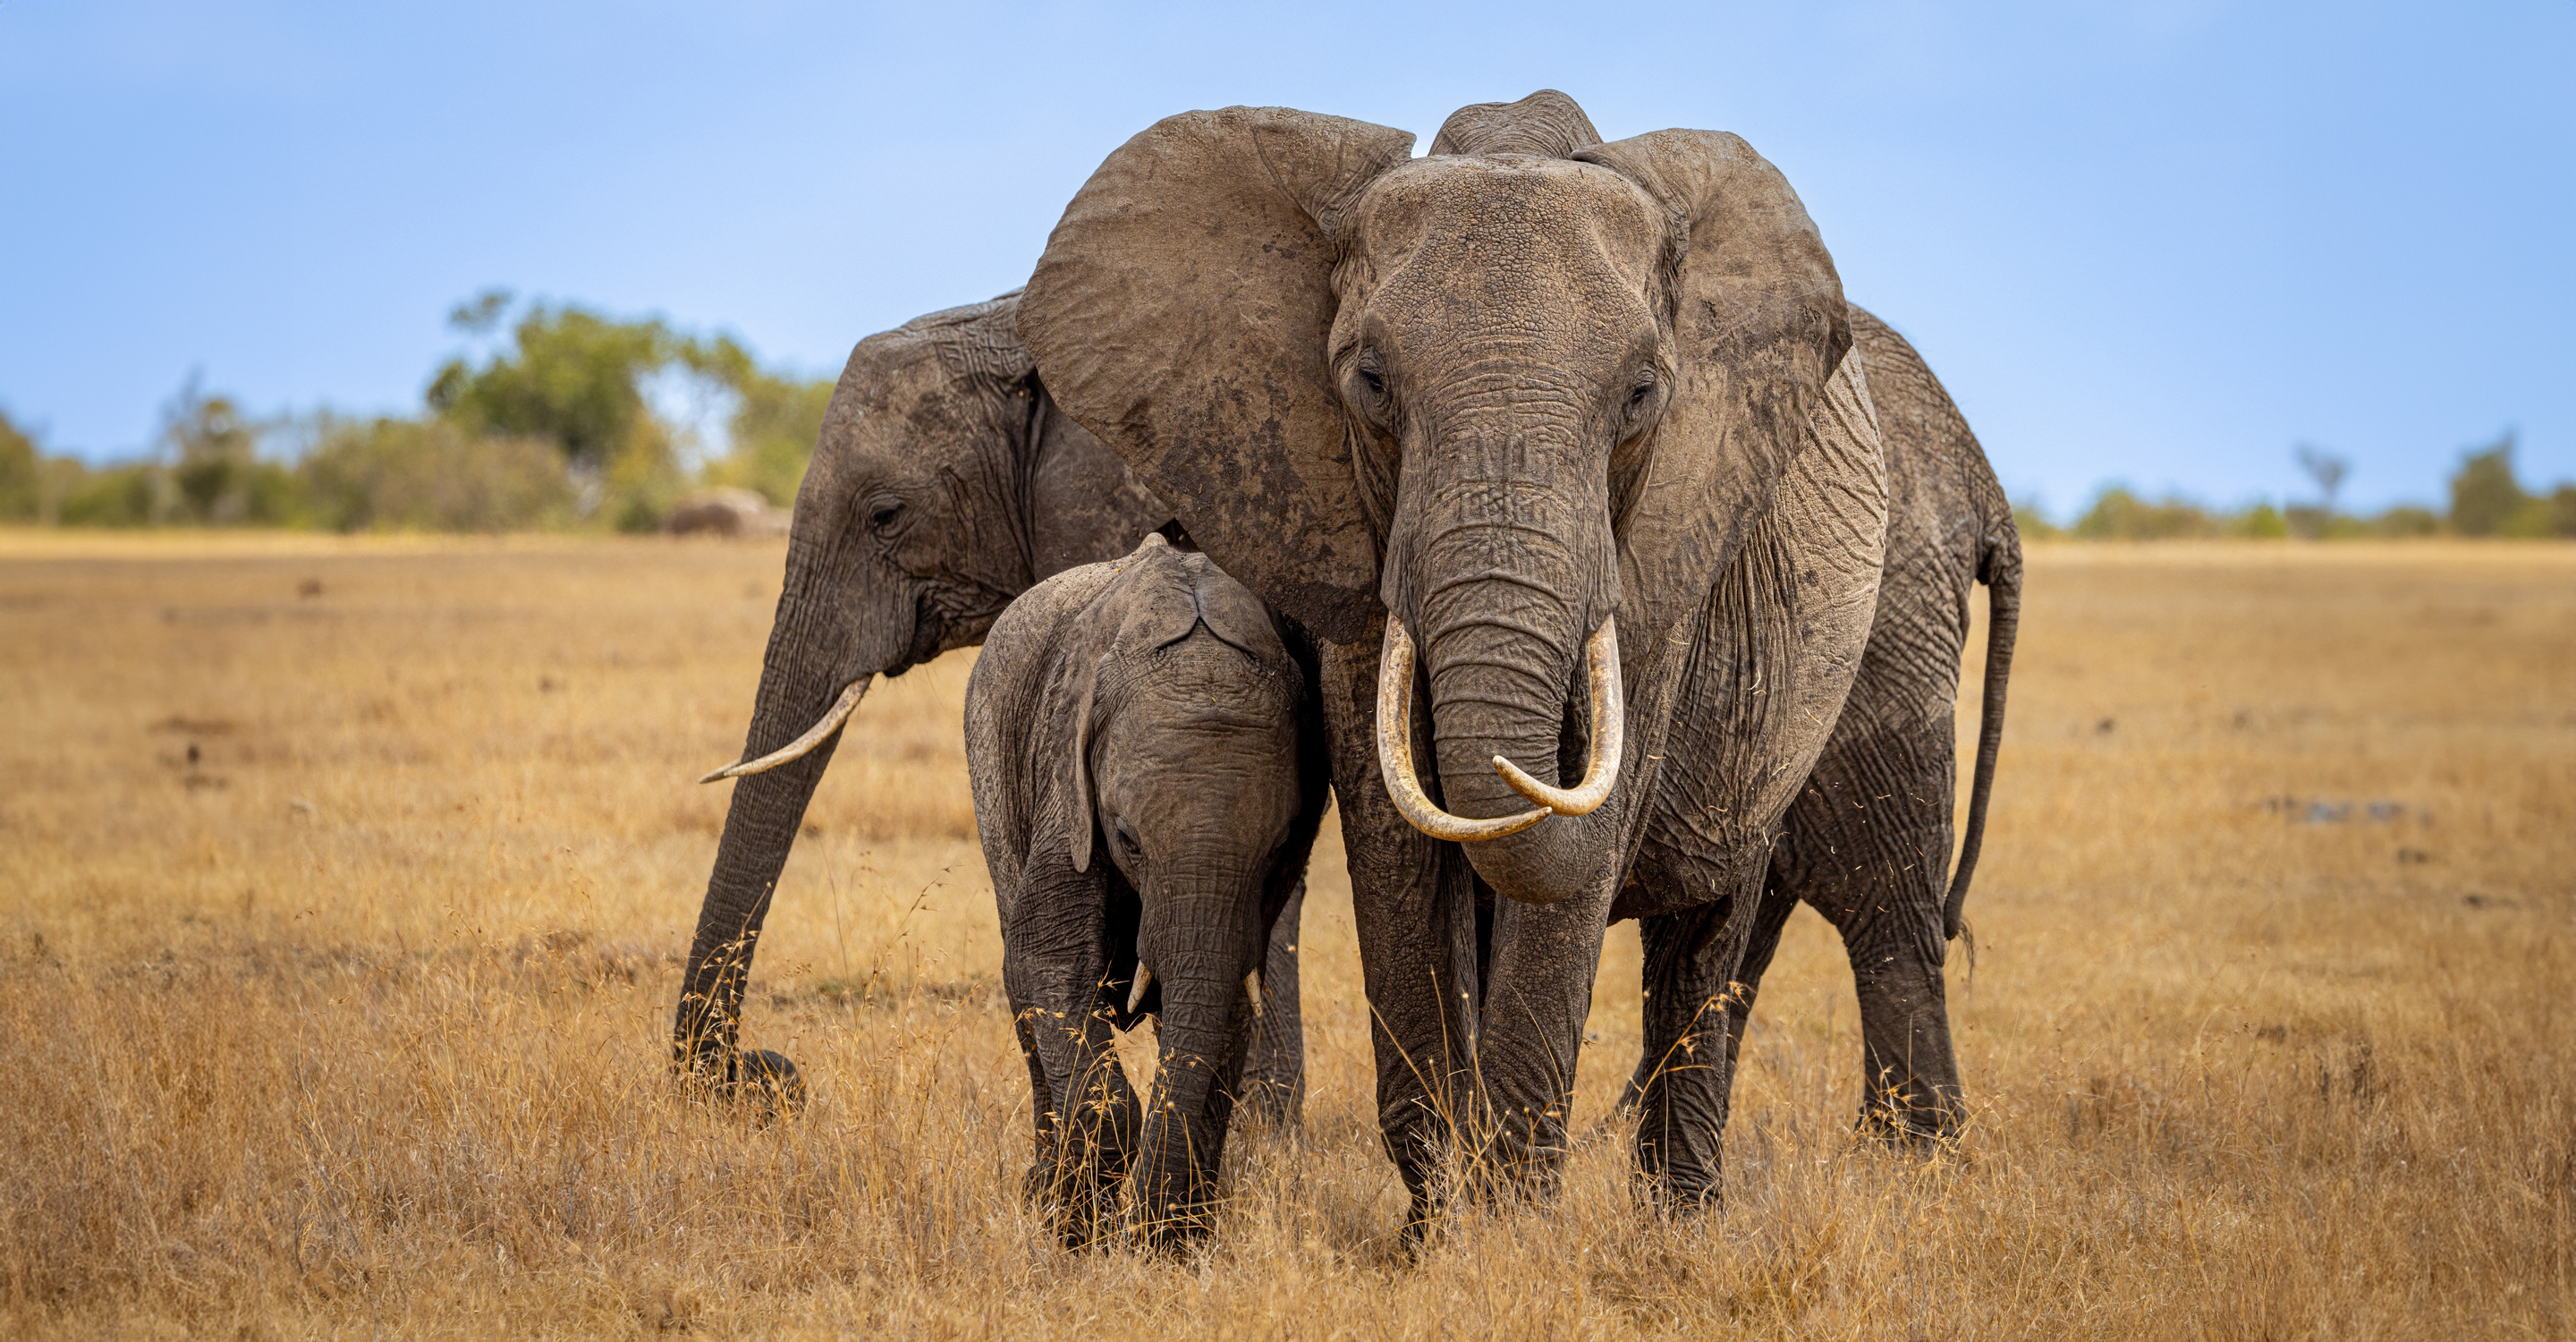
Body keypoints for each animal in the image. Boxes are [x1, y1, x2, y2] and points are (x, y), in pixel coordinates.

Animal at [965, 533, 1327, 1246]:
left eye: (1278, 848)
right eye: (1128, 838)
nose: (1141, 1234)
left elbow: (1228, 997)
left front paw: (1172, 1244)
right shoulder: (1066, 783)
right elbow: (1050, 959)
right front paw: (1089, 1224)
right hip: (991, 758)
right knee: (1019, 981)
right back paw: (1048, 1197)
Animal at [1019, 90, 2017, 1219]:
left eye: (1643, 396)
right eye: (1370, 382)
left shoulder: (1668, 545)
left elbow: (1579, 850)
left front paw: (1506, 1221)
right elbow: (1398, 846)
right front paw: (1439, 1219)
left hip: (1892, 613)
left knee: (1843, 902)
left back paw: (1824, 1192)